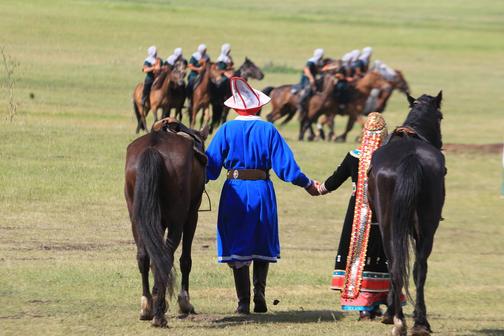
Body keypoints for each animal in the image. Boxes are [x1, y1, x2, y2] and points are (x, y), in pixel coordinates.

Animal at [125, 123, 210, 328]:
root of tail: (153, 148)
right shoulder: (191, 217)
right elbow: (185, 260)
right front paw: (184, 302)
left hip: (137, 219)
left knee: (143, 257)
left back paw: (148, 306)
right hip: (177, 222)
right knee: (167, 257)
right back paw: (159, 315)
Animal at [366, 92, 444, 336]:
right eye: (440, 116)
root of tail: (411, 157)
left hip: (390, 225)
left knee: (397, 264)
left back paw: (398, 319)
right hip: (426, 227)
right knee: (418, 267)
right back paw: (419, 323)